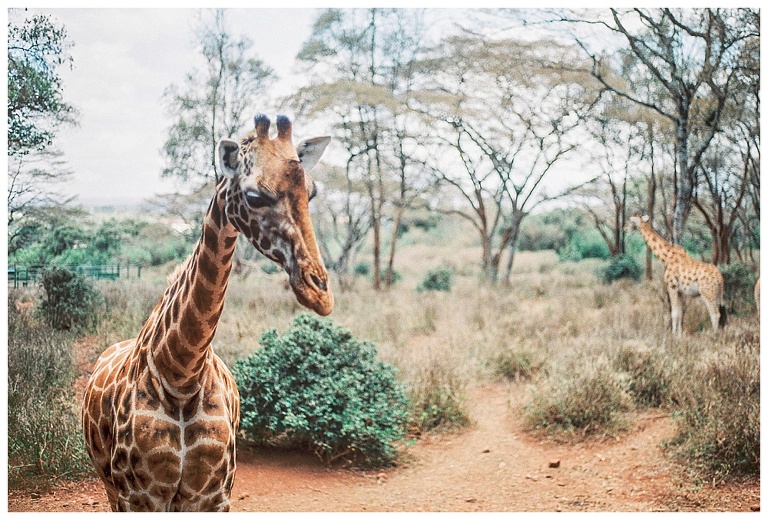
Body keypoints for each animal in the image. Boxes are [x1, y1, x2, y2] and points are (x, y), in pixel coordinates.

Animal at [81, 115, 332, 512]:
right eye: (254, 196)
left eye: (312, 192)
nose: (319, 294)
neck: (182, 375)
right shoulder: (139, 496)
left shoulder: (215, 494)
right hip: (110, 487)